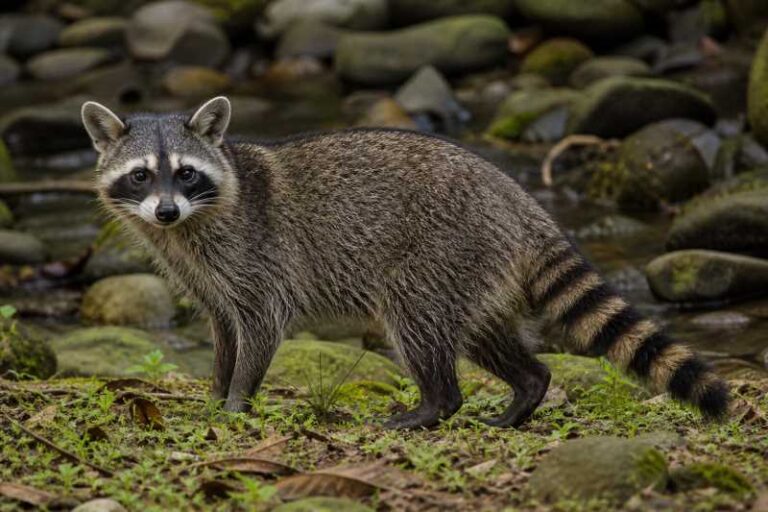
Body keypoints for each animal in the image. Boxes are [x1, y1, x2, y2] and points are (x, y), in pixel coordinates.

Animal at [81, 97, 729, 429]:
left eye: (186, 172)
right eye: (141, 176)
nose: (165, 210)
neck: (187, 225)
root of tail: (516, 199)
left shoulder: (256, 255)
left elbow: (262, 328)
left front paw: (239, 401)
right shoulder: (205, 275)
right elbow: (223, 333)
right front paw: (217, 394)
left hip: (441, 250)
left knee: (416, 323)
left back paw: (435, 406)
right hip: (476, 269)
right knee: (484, 335)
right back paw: (525, 391)